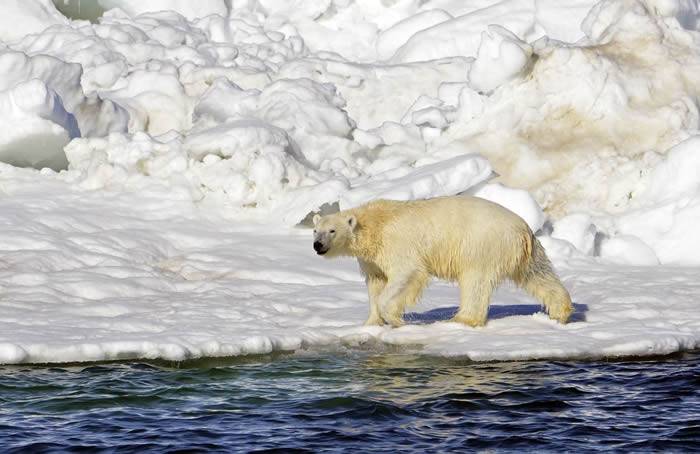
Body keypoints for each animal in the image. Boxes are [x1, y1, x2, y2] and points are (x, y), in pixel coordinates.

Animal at [314, 195, 576, 326]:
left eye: (332, 231)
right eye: (316, 230)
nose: (317, 245)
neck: (374, 224)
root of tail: (523, 228)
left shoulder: (397, 244)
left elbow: (407, 274)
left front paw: (395, 319)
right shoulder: (372, 258)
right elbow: (376, 282)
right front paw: (371, 323)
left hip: (482, 244)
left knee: (475, 281)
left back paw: (462, 319)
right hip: (525, 251)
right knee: (538, 274)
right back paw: (560, 312)